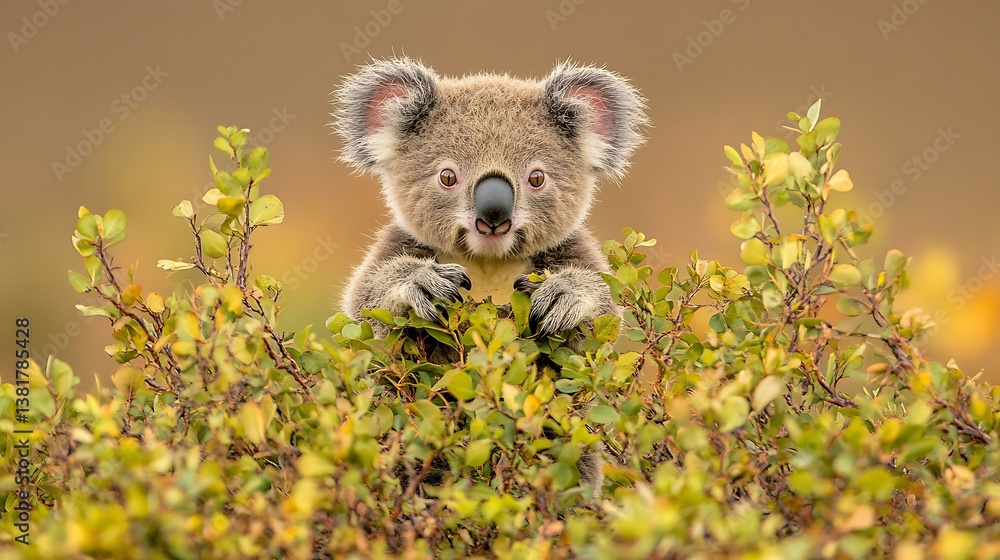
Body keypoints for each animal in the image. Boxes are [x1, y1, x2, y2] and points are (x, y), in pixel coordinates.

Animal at [332, 57, 647, 498]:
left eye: (537, 177)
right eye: (447, 177)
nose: (494, 215)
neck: (487, 264)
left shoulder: (573, 253)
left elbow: (600, 323)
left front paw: (562, 297)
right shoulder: (396, 249)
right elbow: (366, 309)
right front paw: (422, 285)